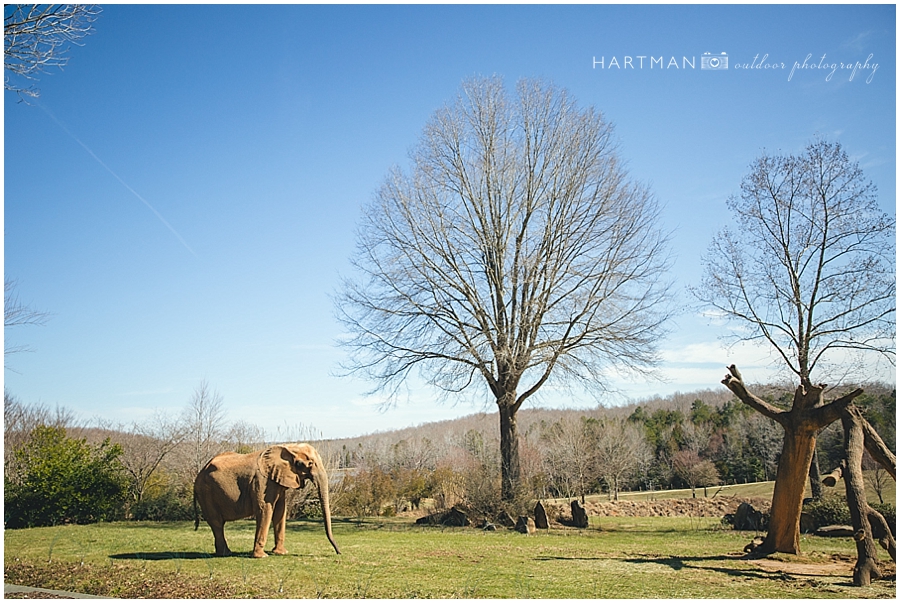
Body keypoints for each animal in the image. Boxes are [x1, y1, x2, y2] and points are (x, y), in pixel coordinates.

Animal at [194, 442, 342, 560]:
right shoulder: (262, 481)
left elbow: (280, 510)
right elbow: (265, 509)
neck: (288, 446)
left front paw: (281, 553)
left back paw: (224, 553)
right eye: (304, 464)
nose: (339, 552)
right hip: (206, 493)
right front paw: (261, 556)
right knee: (217, 522)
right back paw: (225, 554)